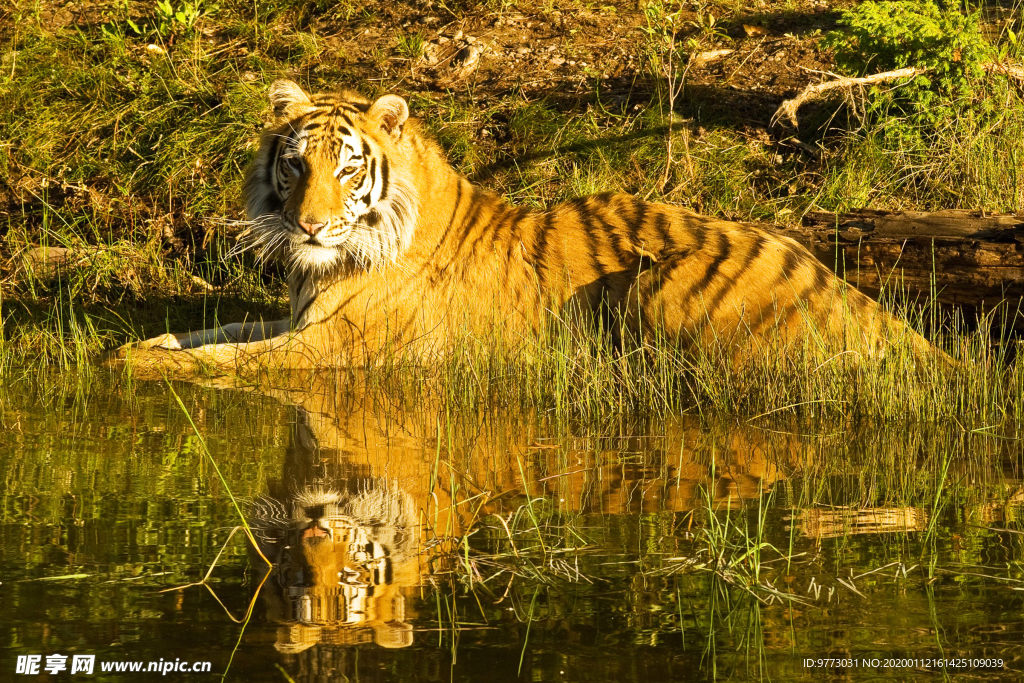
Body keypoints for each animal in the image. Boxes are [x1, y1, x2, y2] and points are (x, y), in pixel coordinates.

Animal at [112, 79, 945, 376]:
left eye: (346, 170)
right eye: (294, 165)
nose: (310, 227)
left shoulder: (337, 345)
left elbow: (226, 362)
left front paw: (135, 366)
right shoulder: (298, 317)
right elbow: (214, 332)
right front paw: (132, 345)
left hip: (665, 285)